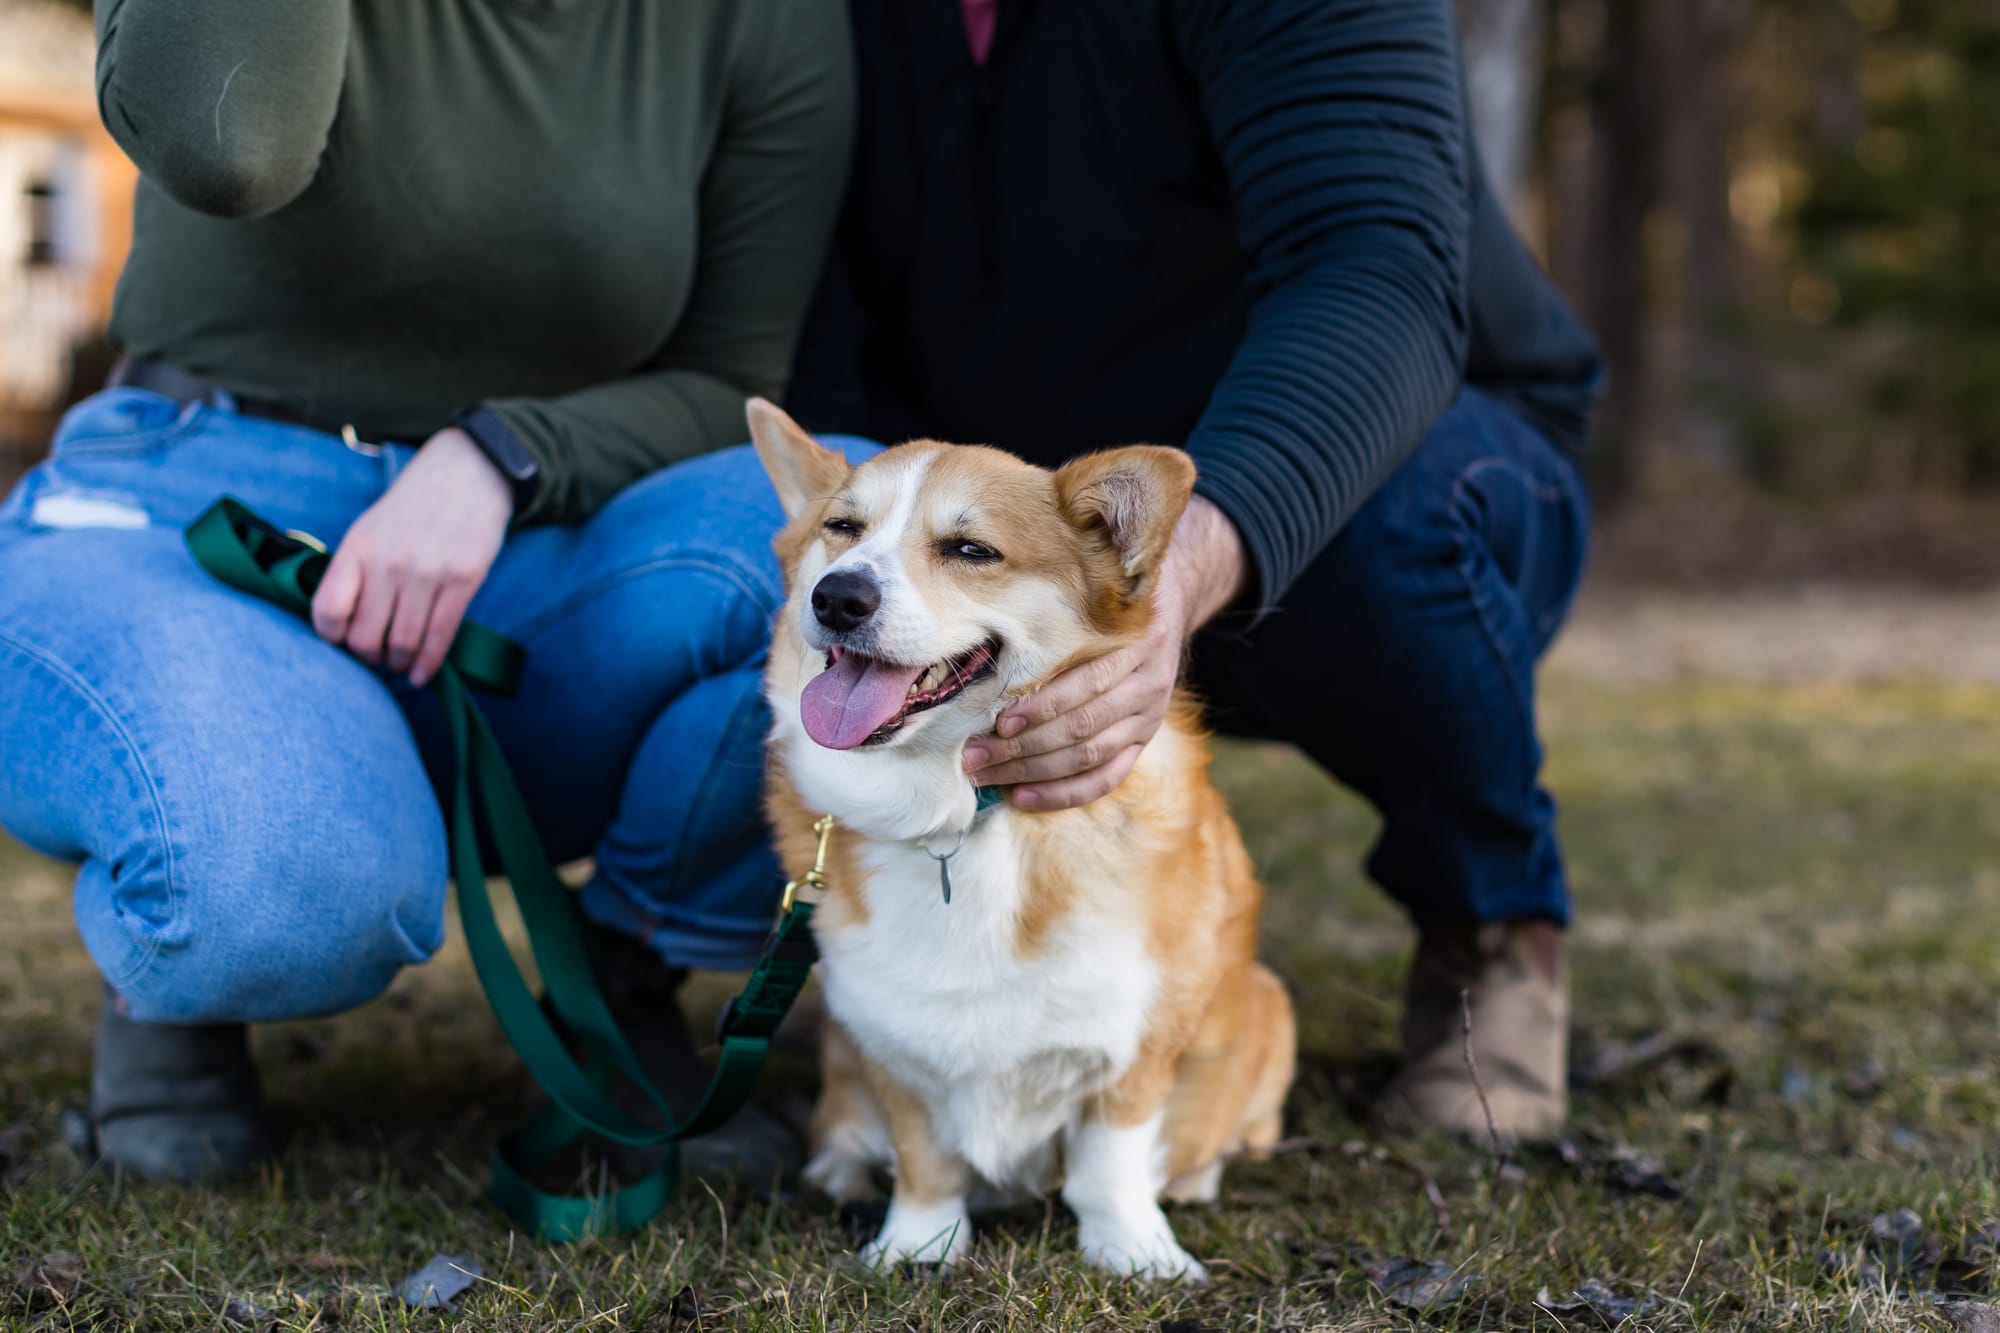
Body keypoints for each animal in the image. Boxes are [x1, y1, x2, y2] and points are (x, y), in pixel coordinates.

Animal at [748, 396, 1296, 1280]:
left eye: (971, 550)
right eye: (843, 527)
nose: (837, 597)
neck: (959, 814)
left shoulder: (1138, 1035)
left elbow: (1110, 1158)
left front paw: (1134, 1251)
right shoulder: (886, 1035)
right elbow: (925, 1154)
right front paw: (917, 1244)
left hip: (1271, 1012)